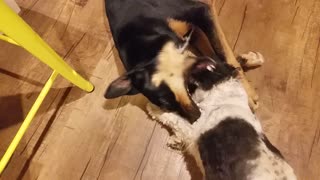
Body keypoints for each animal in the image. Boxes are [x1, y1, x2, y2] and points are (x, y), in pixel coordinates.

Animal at [104, 0, 258, 122]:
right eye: (166, 107)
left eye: (166, 101)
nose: (196, 119)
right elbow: (214, 57)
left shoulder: (201, 12)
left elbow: (221, 49)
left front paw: (248, 95)